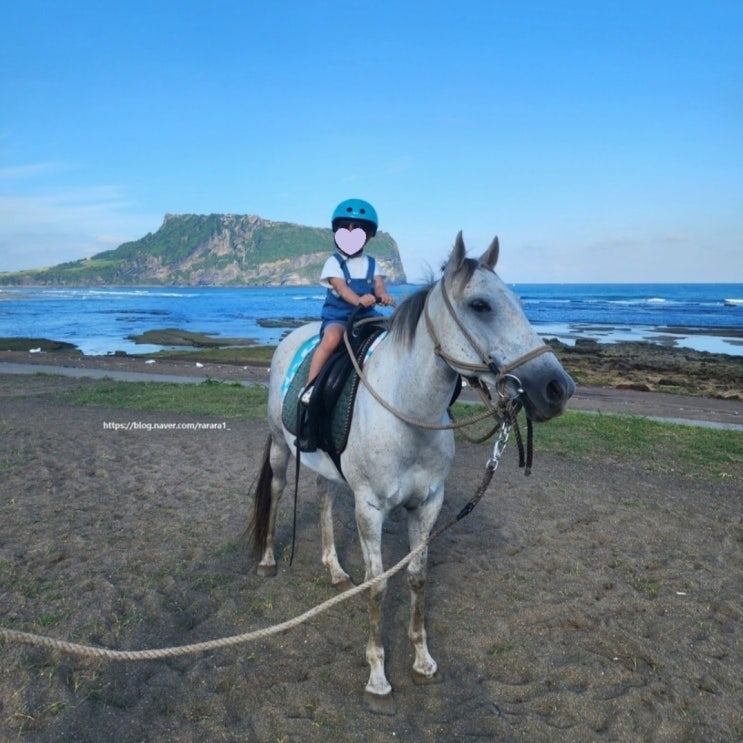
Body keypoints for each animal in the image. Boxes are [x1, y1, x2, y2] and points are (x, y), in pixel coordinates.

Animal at [250, 234, 576, 716]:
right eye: (481, 305)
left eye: (519, 301)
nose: (557, 388)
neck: (409, 412)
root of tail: (293, 338)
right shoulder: (370, 508)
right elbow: (378, 587)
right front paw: (378, 675)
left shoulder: (428, 504)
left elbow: (418, 578)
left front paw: (422, 660)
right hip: (278, 445)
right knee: (275, 489)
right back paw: (269, 560)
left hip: (325, 464)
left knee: (324, 498)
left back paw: (334, 569)